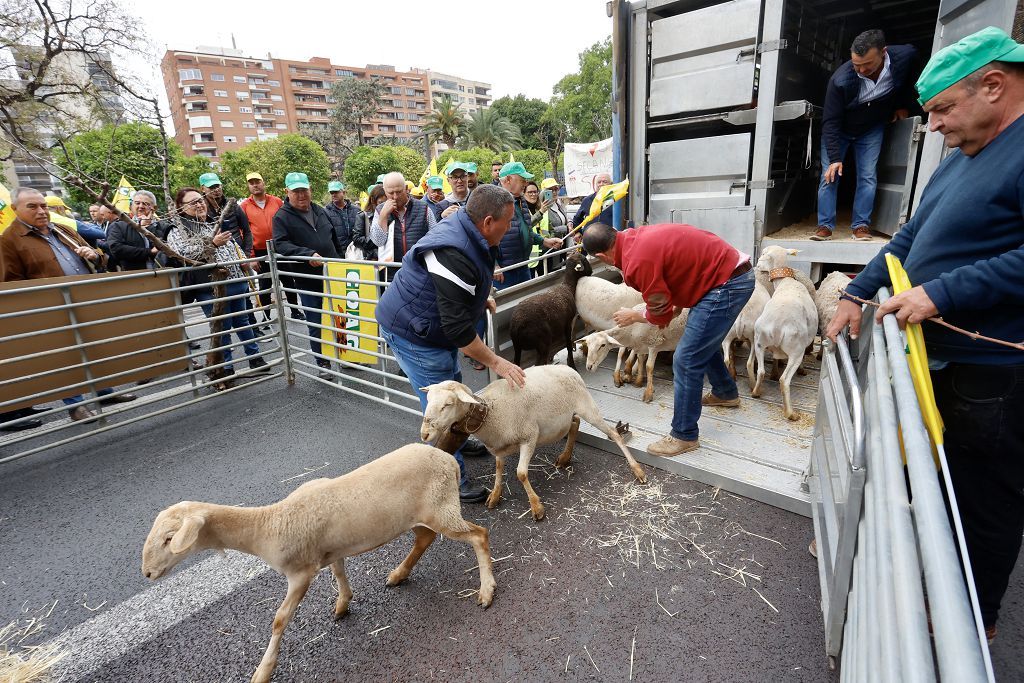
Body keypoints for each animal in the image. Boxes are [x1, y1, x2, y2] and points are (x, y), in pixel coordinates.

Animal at [141, 444, 499, 683]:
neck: (269, 525)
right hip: (423, 514)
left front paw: (263, 671)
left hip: (442, 509)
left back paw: (486, 590)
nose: (146, 573)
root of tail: (448, 461)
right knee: (424, 539)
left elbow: (279, 620)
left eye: (169, 538)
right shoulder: (331, 550)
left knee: (479, 536)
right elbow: (339, 574)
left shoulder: (300, 573)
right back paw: (398, 574)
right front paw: (343, 605)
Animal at [417, 366, 643, 520]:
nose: (424, 434)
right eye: (428, 400)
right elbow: (498, 469)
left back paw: (637, 470)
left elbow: (521, 473)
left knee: (614, 433)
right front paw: (495, 496)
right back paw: (565, 457)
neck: (492, 413)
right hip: (567, 415)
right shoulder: (498, 447)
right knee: (574, 424)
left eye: (448, 404)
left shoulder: (529, 436)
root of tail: (569, 368)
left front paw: (536, 507)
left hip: (588, 407)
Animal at [749, 245, 819, 417]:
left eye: (763, 254)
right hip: (796, 350)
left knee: (761, 371)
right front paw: (802, 371)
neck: (785, 282)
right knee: (784, 380)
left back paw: (756, 393)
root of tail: (776, 326)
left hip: (759, 342)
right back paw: (790, 413)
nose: (757, 266)